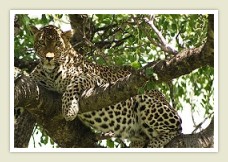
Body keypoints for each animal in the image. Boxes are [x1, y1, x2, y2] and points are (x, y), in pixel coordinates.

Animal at [29, 24, 183, 147]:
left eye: (57, 45)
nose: (49, 58)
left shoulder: (96, 79)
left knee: (177, 127)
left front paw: (69, 110)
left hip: (144, 99)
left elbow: (73, 84)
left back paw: (155, 143)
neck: (51, 71)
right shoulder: (32, 81)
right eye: (42, 43)